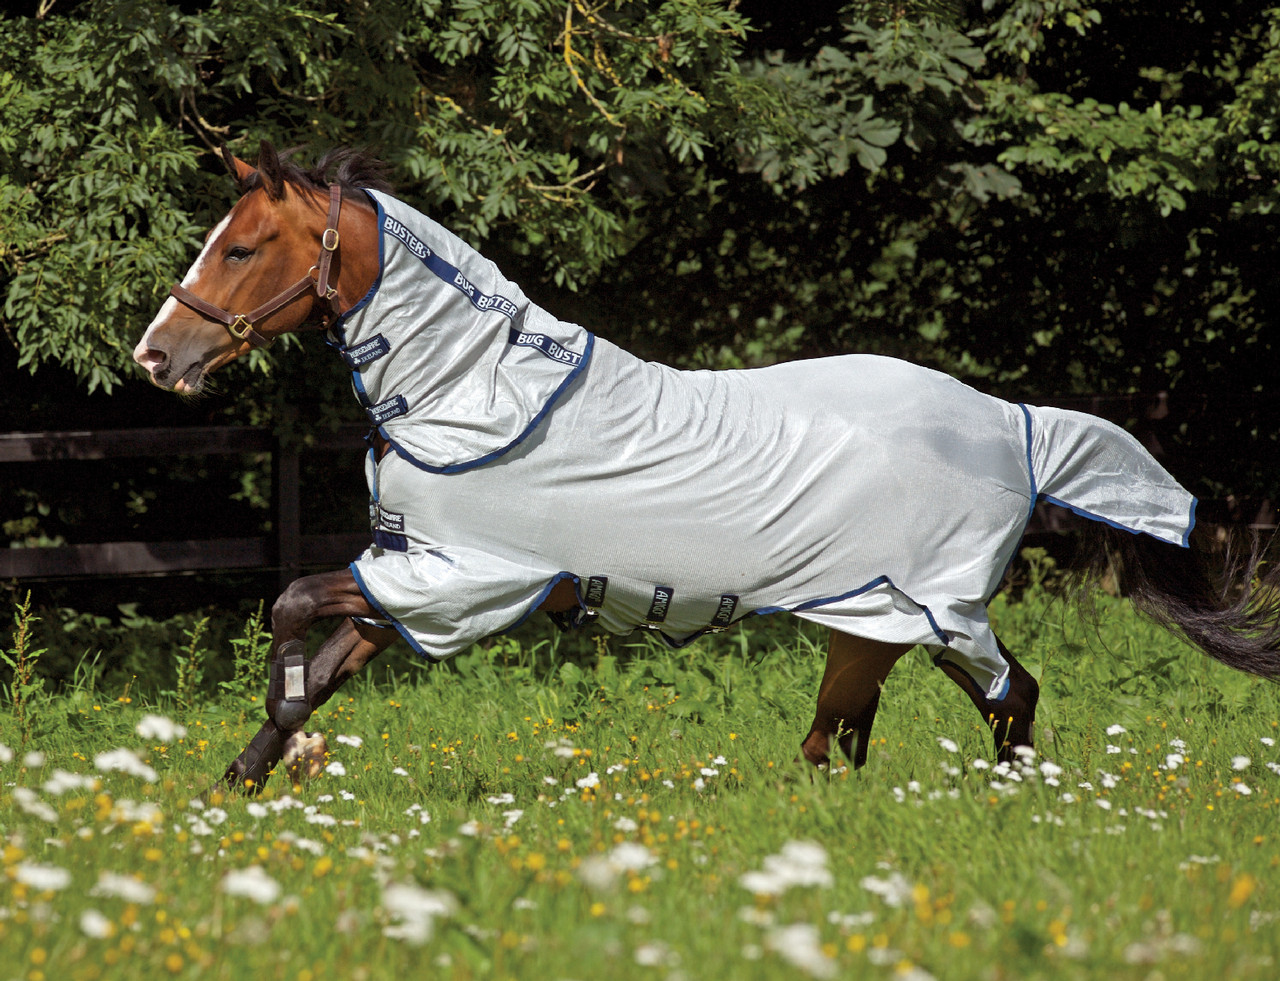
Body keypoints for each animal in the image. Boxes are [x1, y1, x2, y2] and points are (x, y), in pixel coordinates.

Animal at [134, 141, 1280, 793]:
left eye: (240, 249)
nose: (157, 357)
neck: (477, 394)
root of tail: (1015, 423)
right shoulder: (414, 581)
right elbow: (328, 661)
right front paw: (245, 777)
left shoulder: (463, 578)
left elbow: (290, 606)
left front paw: (283, 744)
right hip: (865, 622)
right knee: (840, 740)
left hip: (935, 610)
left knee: (1008, 696)